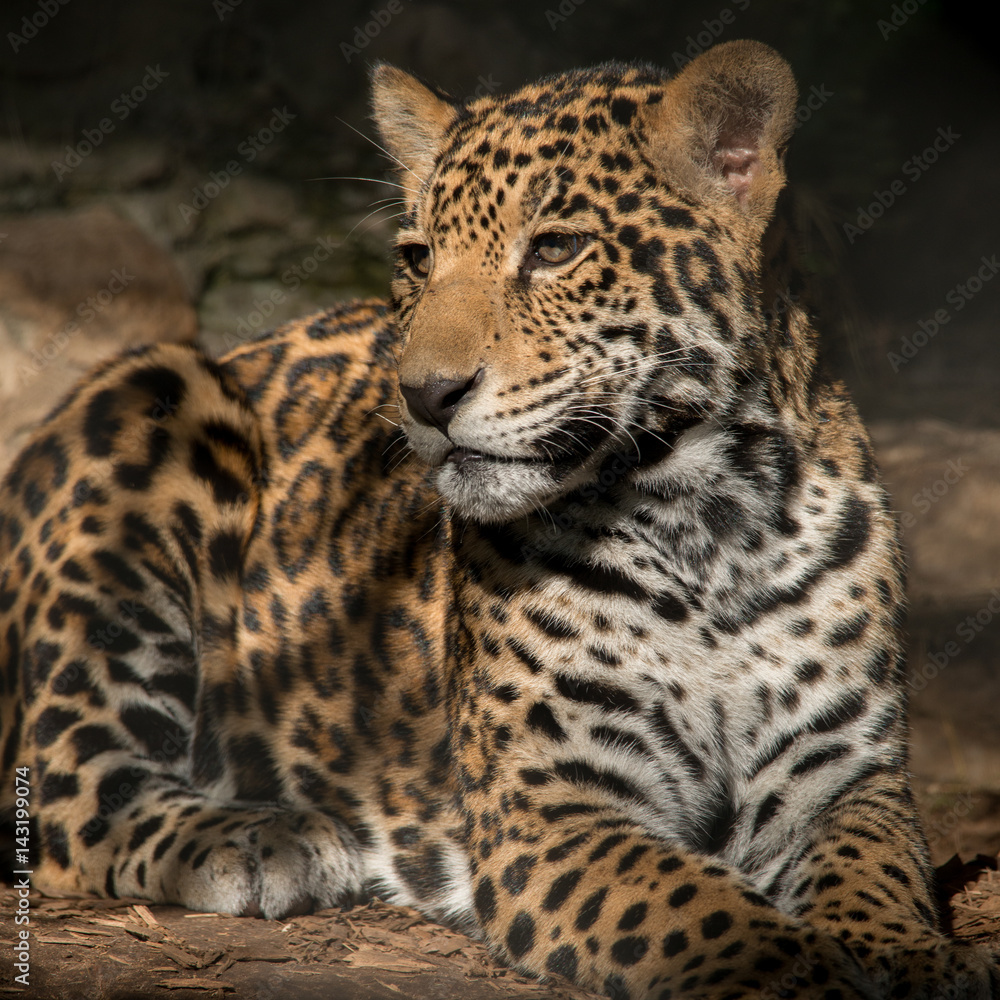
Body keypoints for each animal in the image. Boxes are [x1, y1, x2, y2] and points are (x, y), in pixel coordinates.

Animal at [1, 39, 996, 1000]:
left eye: (556, 249)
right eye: (416, 259)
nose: (423, 395)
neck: (705, 520)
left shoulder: (846, 775)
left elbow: (876, 874)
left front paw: (916, 958)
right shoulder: (551, 806)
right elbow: (712, 912)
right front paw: (804, 971)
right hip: (156, 400)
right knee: (68, 796)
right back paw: (261, 840)